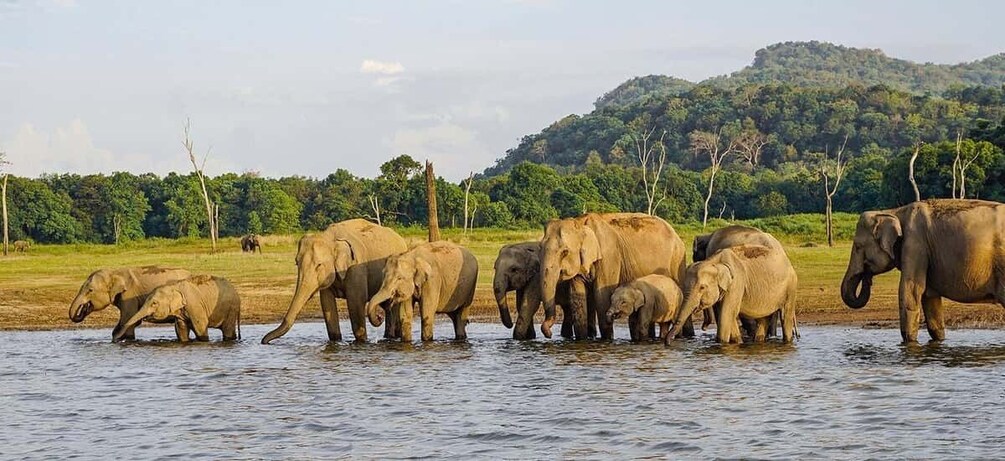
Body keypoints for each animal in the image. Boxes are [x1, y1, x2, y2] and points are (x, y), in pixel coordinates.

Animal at [262, 219, 407, 344]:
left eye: (319, 265)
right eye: (297, 263)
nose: (264, 341)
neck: (330, 238)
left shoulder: (356, 268)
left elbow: (356, 304)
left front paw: (361, 342)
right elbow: (327, 305)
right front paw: (336, 341)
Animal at [539, 212, 691, 341]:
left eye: (564, 252)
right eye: (540, 248)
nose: (549, 334)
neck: (581, 223)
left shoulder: (609, 257)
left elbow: (602, 296)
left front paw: (607, 340)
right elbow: (577, 296)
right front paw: (582, 340)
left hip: (678, 260)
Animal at [669, 244, 798, 344]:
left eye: (702, 288)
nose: (668, 342)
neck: (714, 262)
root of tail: (788, 262)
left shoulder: (736, 283)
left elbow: (726, 315)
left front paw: (722, 344)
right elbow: (727, 315)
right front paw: (738, 342)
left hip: (790, 288)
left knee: (785, 316)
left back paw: (787, 342)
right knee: (763, 319)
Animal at [841, 199, 1005, 343]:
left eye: (858, 246)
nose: (867, 277)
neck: (894, 211)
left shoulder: (915, 244)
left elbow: (911, 289)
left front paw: (909, 343)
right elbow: (929, 296)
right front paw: (939, 341)